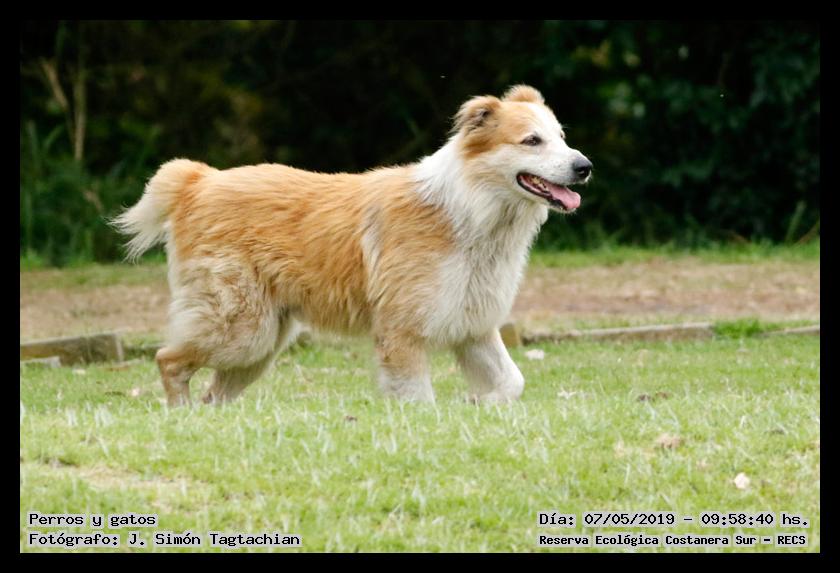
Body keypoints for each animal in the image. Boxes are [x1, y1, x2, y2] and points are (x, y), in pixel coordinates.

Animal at [113, 85, 592, 406]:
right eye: (532, 140)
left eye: (562, 136)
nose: (585, 167)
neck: (470, 209)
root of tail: (198, 180)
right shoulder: (403, 334)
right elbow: (420, 400)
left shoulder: (473, 329)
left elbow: (513, 382)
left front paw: (480, 403)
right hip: (240, 331)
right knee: (168, 360)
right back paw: (180, 414)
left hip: (259, 344)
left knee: (213, 393)